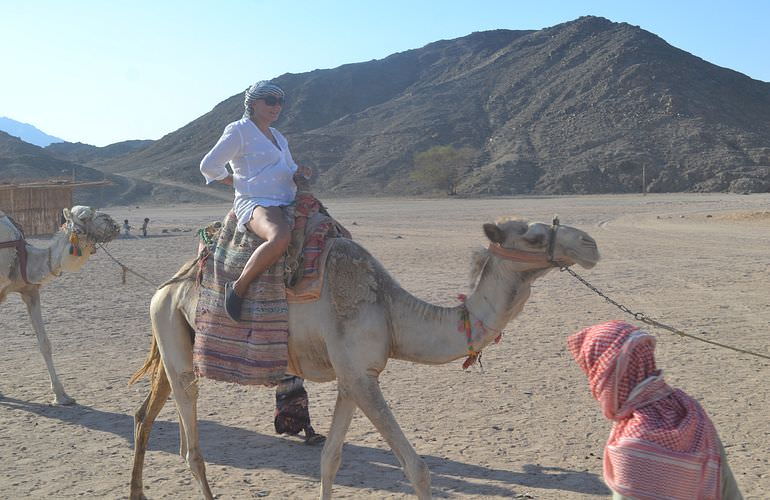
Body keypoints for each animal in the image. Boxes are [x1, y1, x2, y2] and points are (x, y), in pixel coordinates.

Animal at [129, 217, 600, 498]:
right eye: (534, 236)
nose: (591, 243)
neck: (391, 311)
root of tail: (165, 287)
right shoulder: (359, 376)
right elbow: (417, 469)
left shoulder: (353, 377)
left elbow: (330, 460)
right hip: (175, 341)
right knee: (192, 444)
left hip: (173, 341)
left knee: (149, 415)